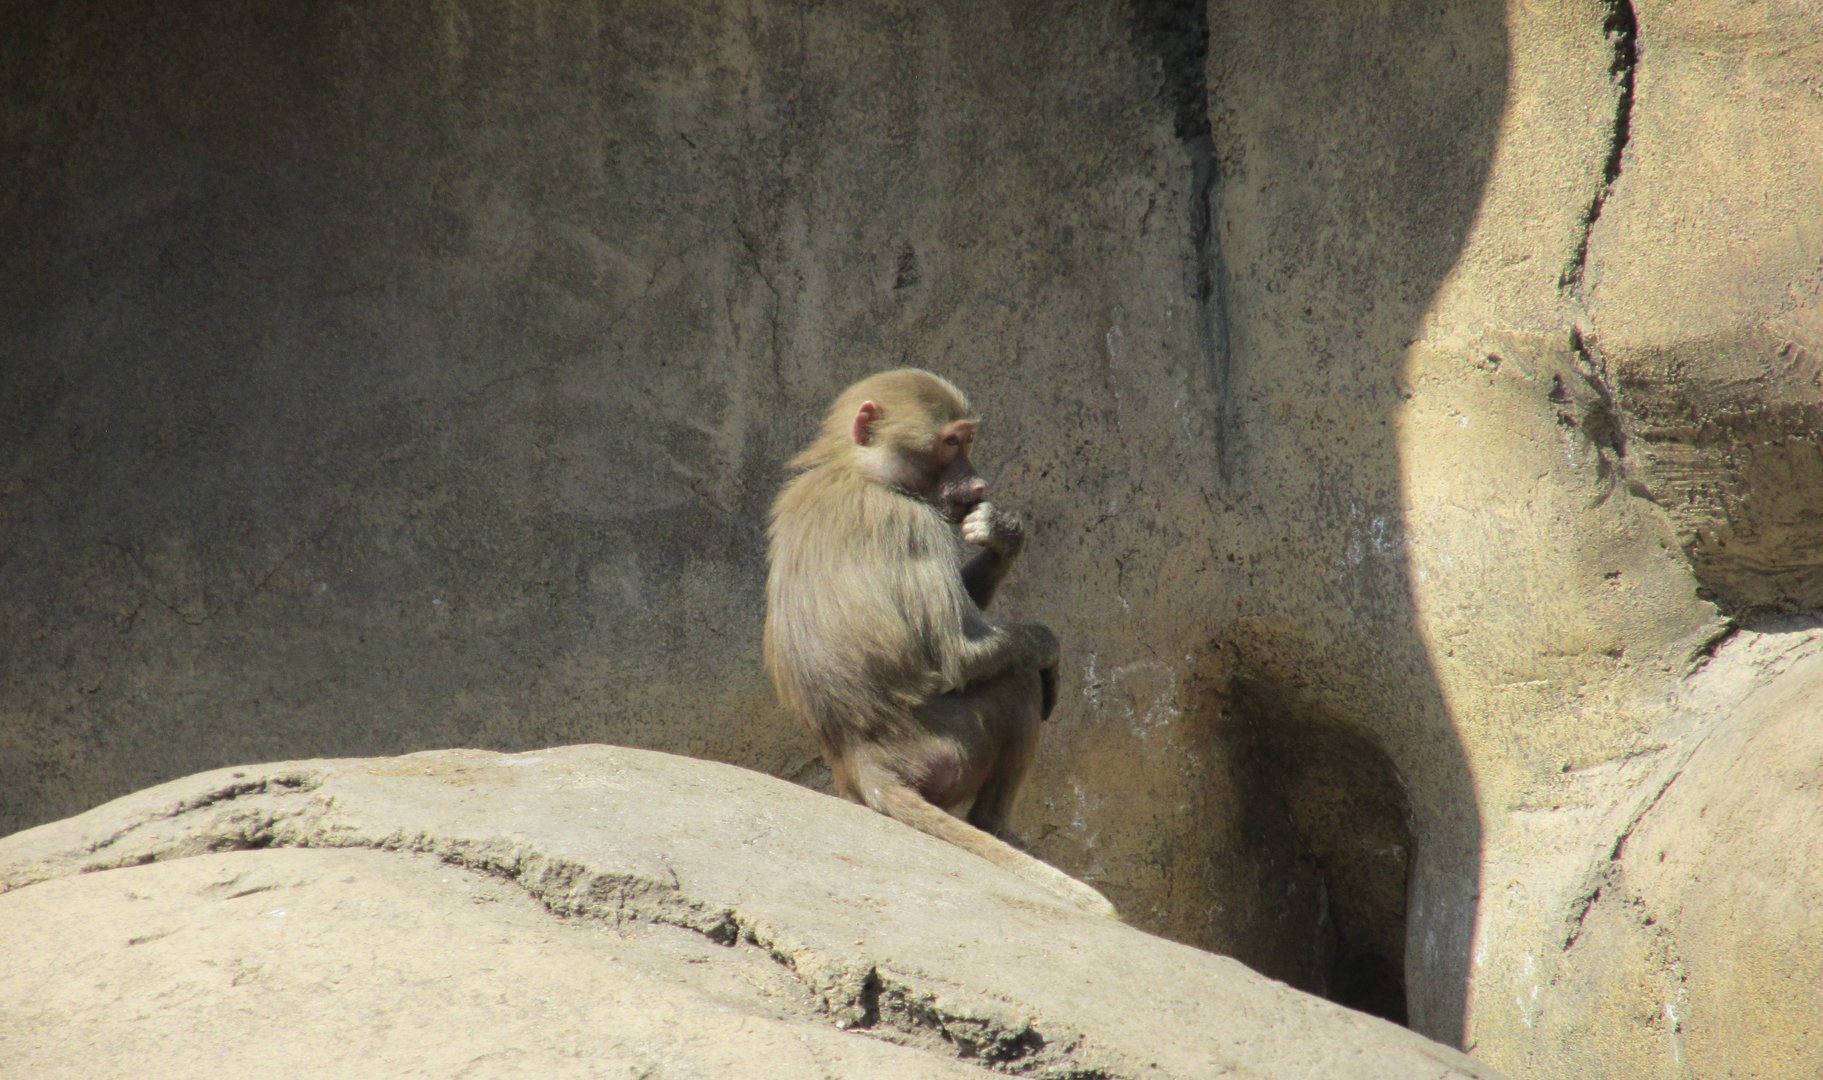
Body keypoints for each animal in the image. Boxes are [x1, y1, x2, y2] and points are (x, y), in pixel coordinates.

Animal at [764, 368, 1116, 918]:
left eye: (968, 440)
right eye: (951, 442)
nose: (978, 485)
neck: (859, 468)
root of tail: (863, 757)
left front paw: (1002, 533)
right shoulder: (913, 522)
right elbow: (959, 653)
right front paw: (1047, 644)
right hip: (949, 748)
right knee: (1017, 680)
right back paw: (995, 826)